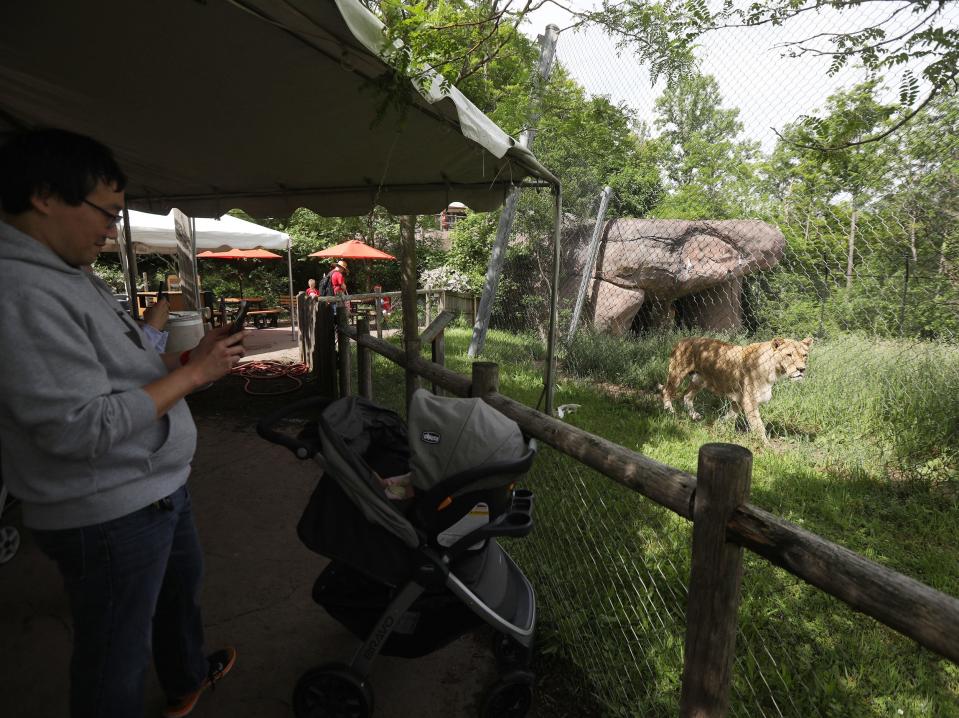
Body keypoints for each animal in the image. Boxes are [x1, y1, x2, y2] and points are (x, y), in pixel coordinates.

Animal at [664, 334, 812, 442]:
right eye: (789, 355)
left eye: (804, 355)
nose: (801, 369)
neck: (773, 370)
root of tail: (682, 340)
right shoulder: (749, 400)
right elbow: (758, 426)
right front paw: (767, 447)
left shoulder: (739, 399)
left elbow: (731, 415)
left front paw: (718, 424)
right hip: (678, 373)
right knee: (667, 391)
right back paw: (669, 411)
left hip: (699, 380)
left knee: (687, 395)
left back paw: (694, 416)